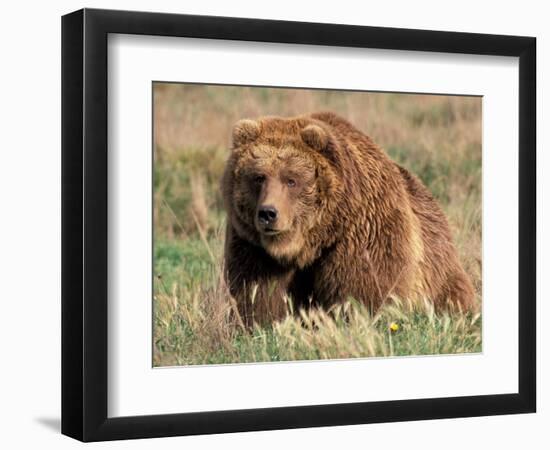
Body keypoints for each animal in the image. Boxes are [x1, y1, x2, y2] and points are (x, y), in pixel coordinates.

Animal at [222, 110, 476, 326]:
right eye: (258, 177)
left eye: (291, 179)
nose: (268, 213)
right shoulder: (253, 247)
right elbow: (259, 294)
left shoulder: (363, 232)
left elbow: (364, 290)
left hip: (438, 266)